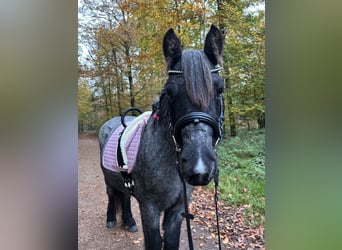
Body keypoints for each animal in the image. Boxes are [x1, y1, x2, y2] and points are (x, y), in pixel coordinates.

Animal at [98, 23, 224, 250]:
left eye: (220, 89)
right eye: (170, 92)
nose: (199, 167)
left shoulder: (177, 210)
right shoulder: (149, 209)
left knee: (125, 196)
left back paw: (129, 221)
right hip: (108, 179)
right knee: (112, 194)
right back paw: (111, 218)